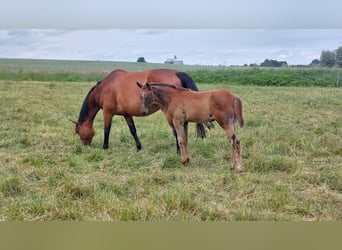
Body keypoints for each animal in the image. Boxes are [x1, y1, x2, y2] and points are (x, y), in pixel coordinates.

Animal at [73, 68, 208, 150]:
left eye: (78, 131)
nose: (84, 147)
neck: (105, 88)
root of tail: (177, 72)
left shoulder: (107, 112)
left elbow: (107, 130)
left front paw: (105, 147)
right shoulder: (126, 114)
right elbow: (133, 130)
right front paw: (139, 147)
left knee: (176, 131)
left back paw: (178, 151)